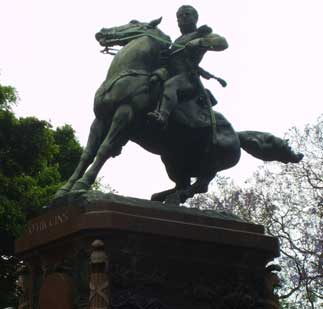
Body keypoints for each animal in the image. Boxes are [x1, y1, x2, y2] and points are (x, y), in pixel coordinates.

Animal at [54, 18, 306, 203]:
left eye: (134, 21)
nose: (102, 32)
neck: (129, 73)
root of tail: (238, 135)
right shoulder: (99, 119)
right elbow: (88, 153)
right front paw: (65, 189)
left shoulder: (124, 115)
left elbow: (104, 149)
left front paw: (82, 185)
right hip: (172, 159)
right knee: (183, 183)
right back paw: (161, 197)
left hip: (211, 164)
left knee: (200, 186)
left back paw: (177, 198)